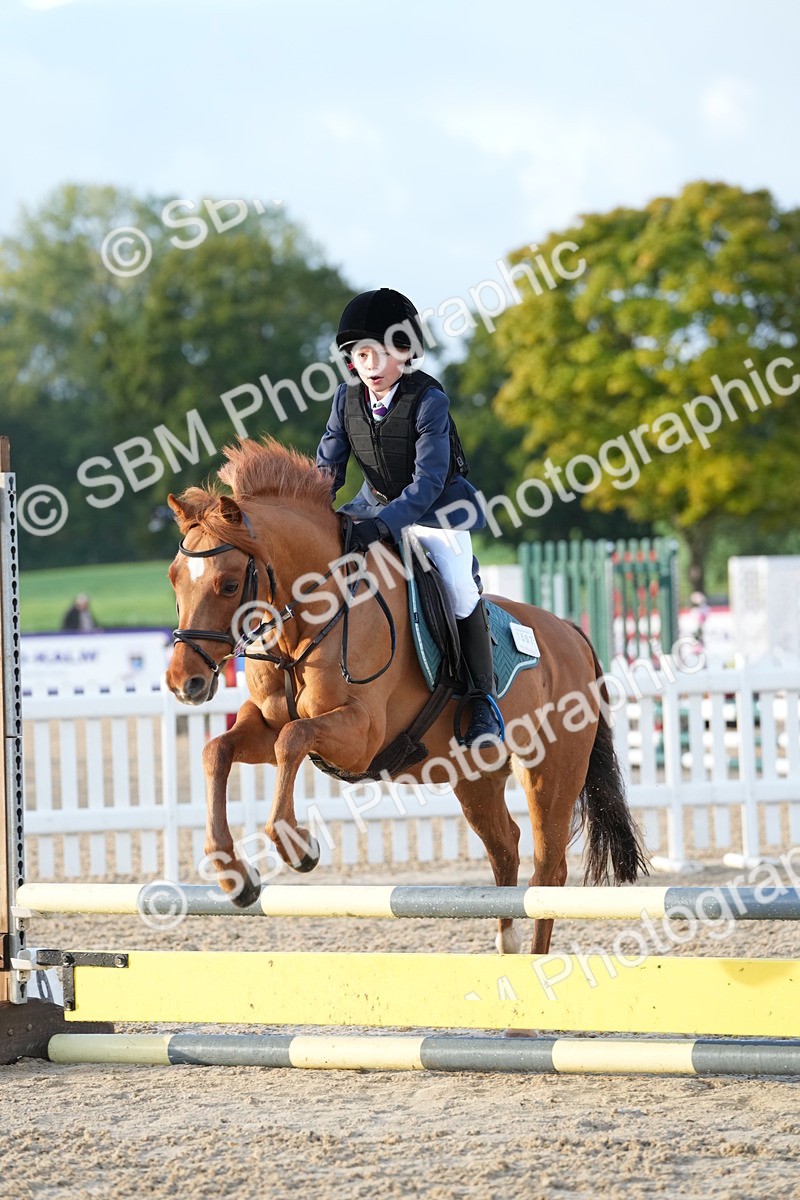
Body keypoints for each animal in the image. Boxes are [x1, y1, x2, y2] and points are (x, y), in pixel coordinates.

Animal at [166, 438, 647, 955]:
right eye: (174, 578)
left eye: (230, 584)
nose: (183, 681)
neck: (309, 619)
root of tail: (571, 634)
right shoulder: (264, 724)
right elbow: (220, 750)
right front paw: (233, 875)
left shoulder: (361, 735)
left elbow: (291, 739)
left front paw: (297, 846)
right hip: (474, 777)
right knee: (505, 847)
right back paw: (507, 945)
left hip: (549, 773)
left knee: (548, 869)